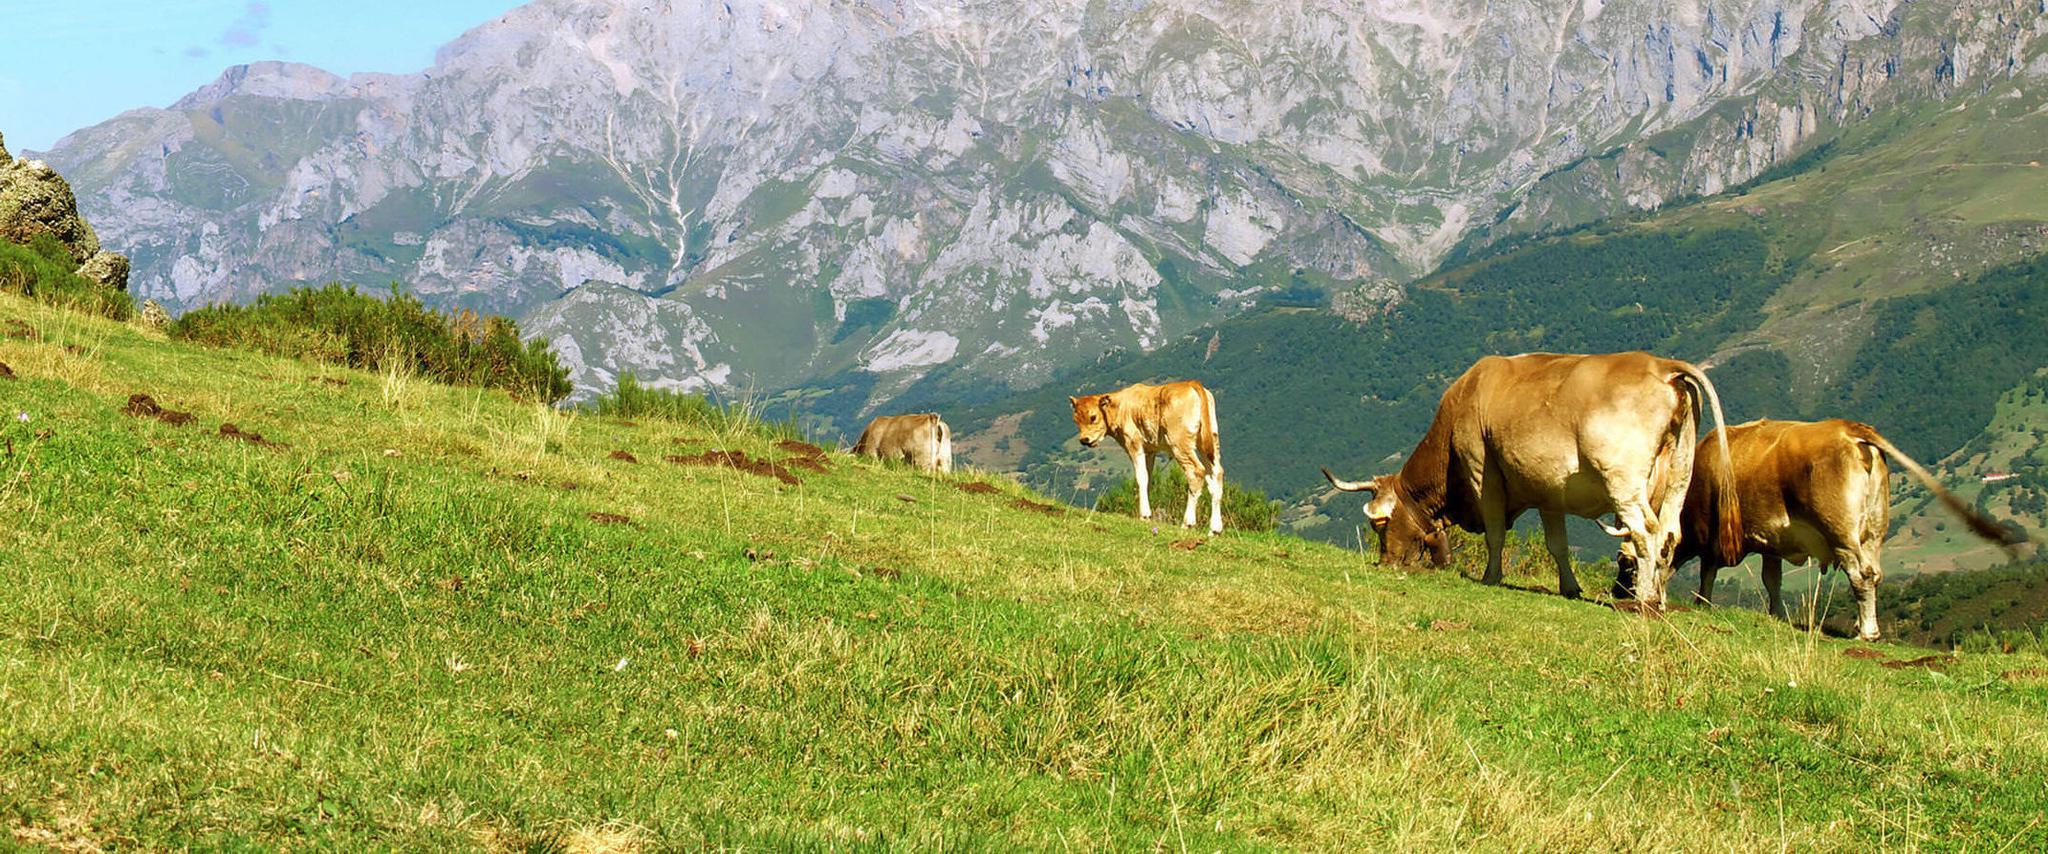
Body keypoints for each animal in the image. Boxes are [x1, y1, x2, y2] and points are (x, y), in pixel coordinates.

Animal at [1064, 378, 1220, 532]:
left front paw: (1144, 515)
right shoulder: (1149, 450)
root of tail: (1192, 383)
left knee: (1196, 471)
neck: (1120, 407)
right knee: (1216, 475)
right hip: (1209, 442)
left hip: (1180, 443)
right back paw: (1214, 529)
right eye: (1075, 419)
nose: (1084, 439)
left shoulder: (1134, 443)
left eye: (1093, 417)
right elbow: (1148, 478)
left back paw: (1188, 523)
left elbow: (1141, 477)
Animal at [1318, 350, 1736, 602]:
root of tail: (1662, 365)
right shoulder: (1550, 492)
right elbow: (1558, 545)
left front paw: (1490, 576)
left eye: (1380, 523)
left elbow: (1495, 534)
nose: (1386, 562)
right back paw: (1659, 598)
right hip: (1679, 476)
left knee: (1645, 532)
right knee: (1669, 533)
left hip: (1624, 482)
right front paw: (1570, 588)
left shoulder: (1482, 474)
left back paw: (1644, 600)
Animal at [1613, 415, 2031, 643]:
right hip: (1873, 532)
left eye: (1625, 563)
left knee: (1861, 575)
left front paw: (1698, 602)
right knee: (1875, 573)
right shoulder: (1770, 541)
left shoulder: (1711, 536)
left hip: (1841, 533)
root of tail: (1852, 430)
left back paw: (1867, 631)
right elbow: (1772, 580)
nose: (1618, 594)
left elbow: (1706, 572)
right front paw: (1775, 614)